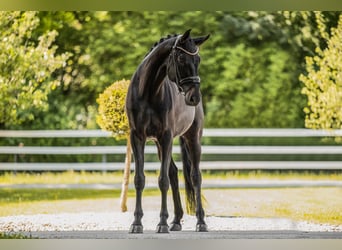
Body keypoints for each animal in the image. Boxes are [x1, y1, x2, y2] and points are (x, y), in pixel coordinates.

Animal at [126, 29, 208, 234]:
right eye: (180, 58)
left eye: (198, 59)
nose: (194, 97)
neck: (148, 92)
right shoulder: (137, 137)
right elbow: (139, 179)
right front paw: (136, 223)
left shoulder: (166, 137)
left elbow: (162, 180)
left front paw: (161, 223)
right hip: (159, 144)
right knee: (173, 173)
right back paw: (176, 220)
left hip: (192, 138)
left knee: (195, 176)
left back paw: (201, 222)